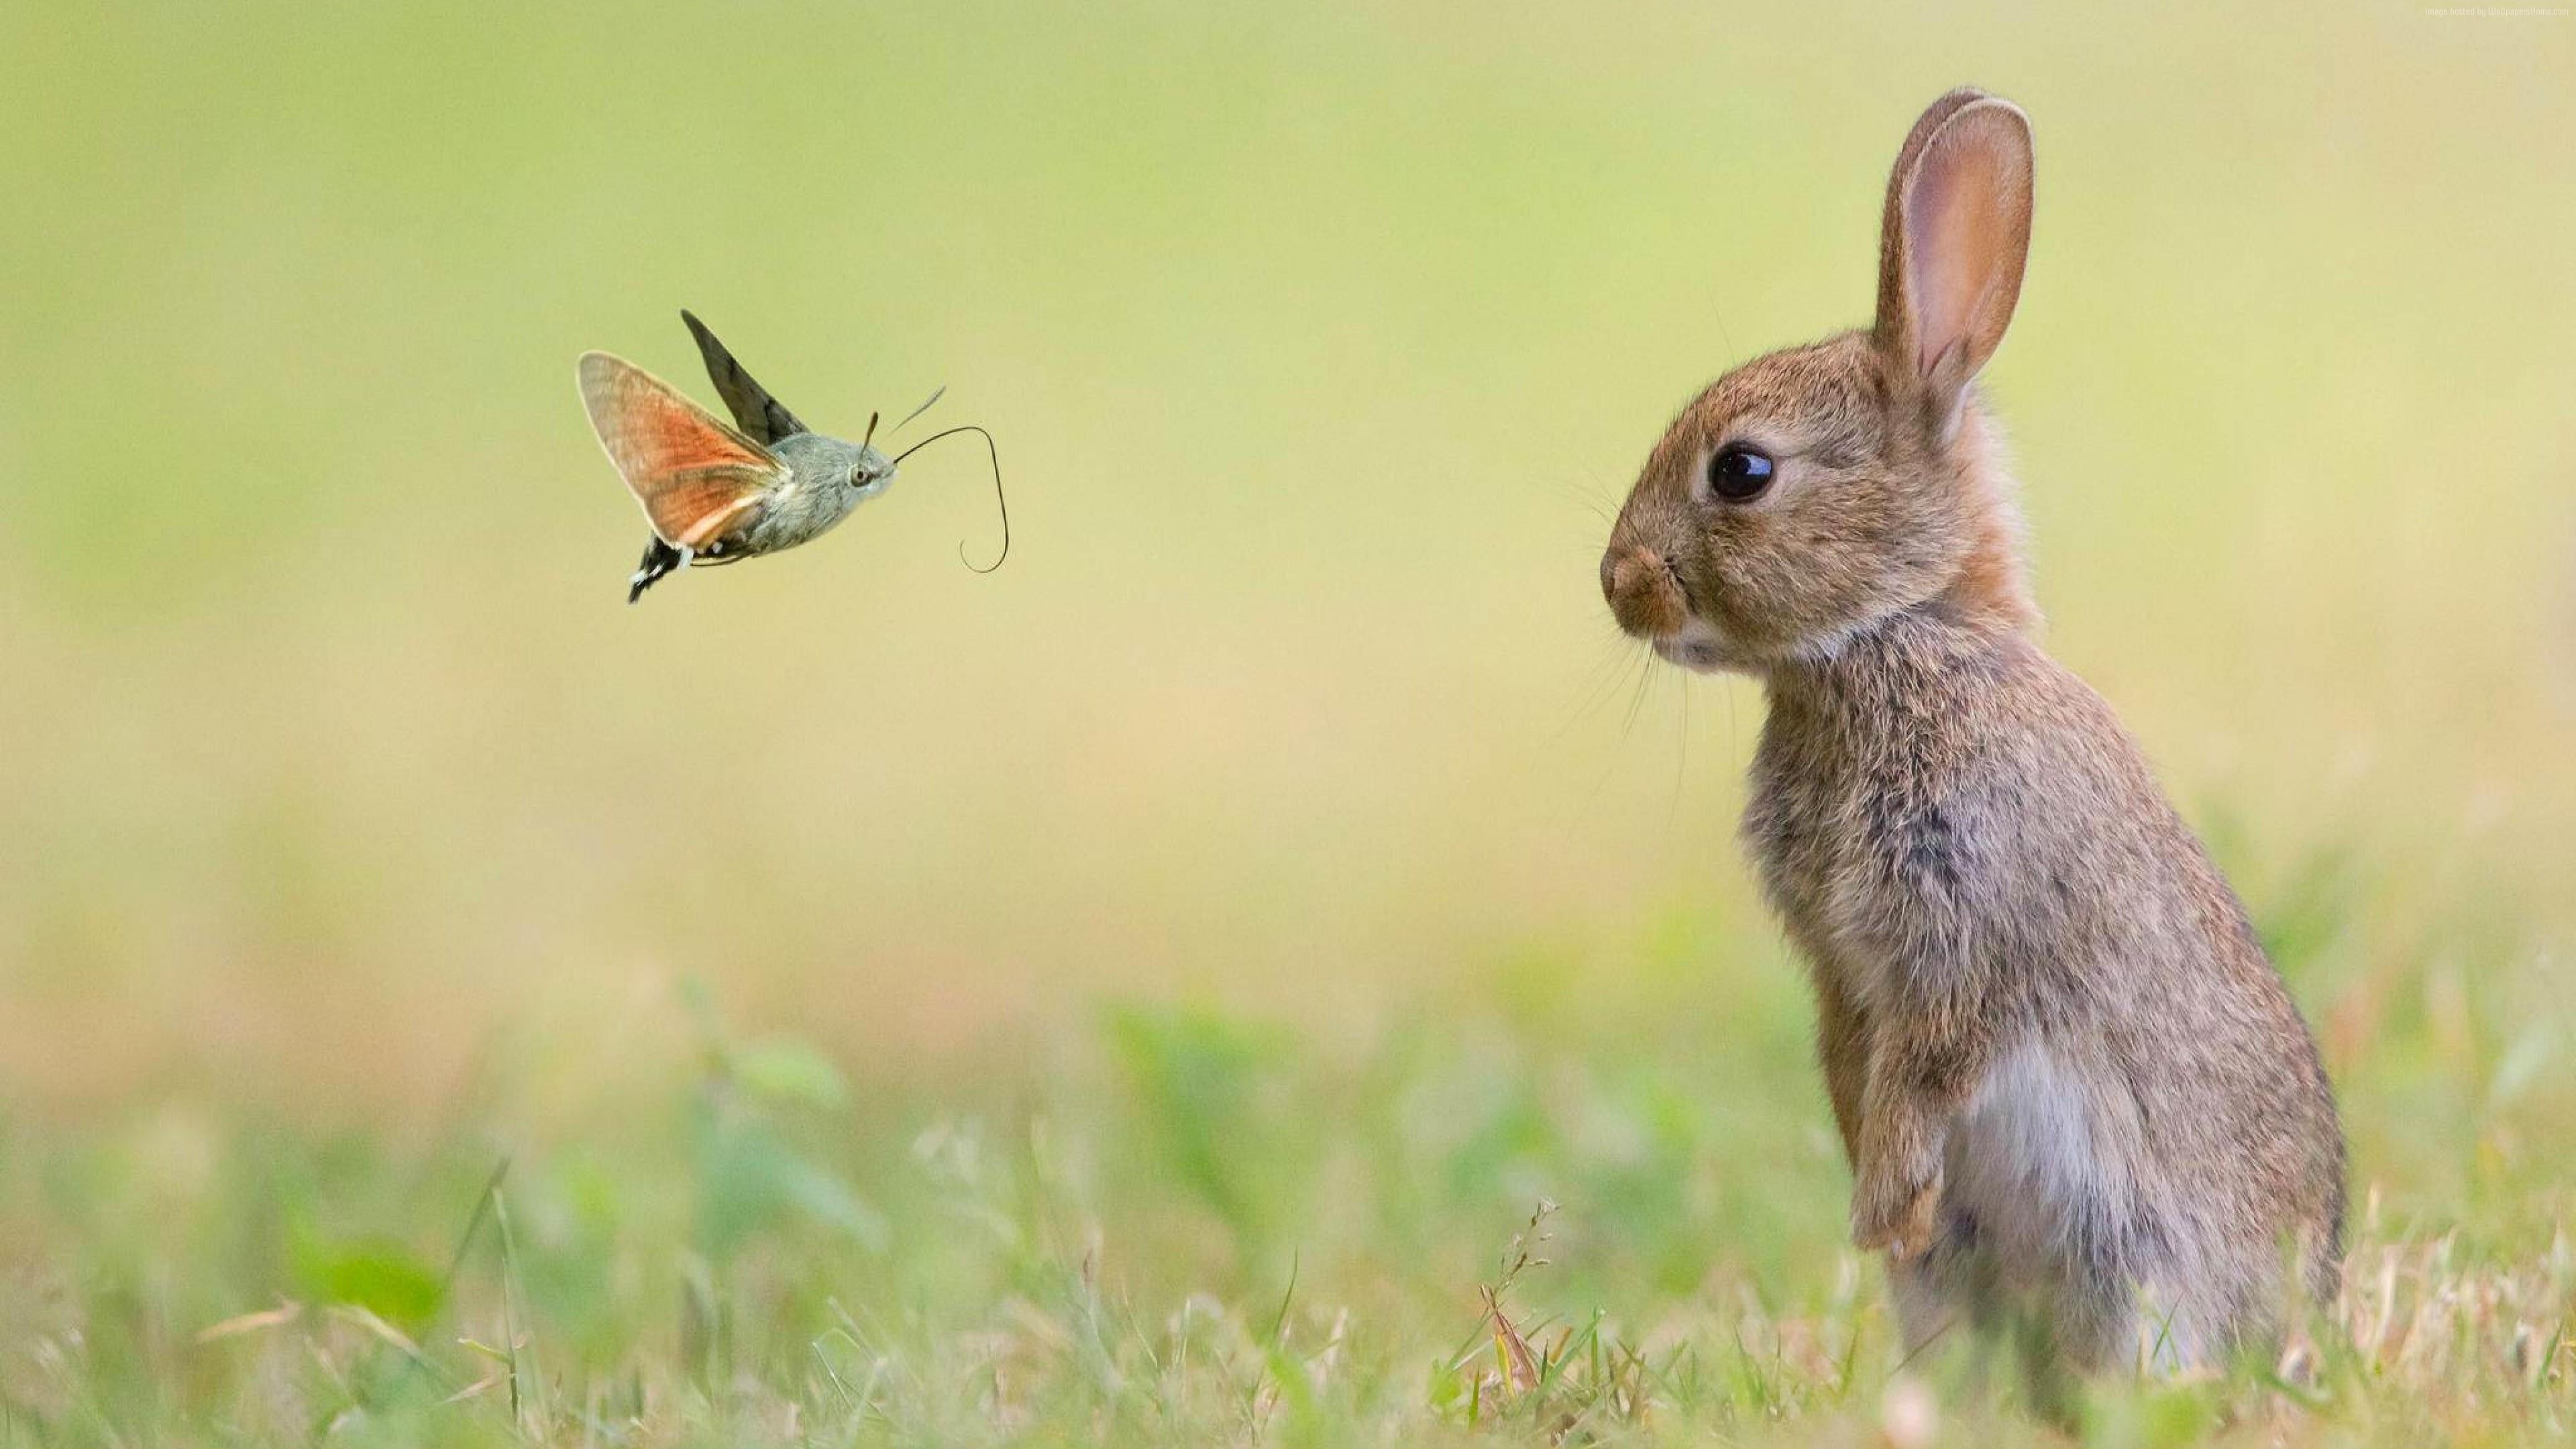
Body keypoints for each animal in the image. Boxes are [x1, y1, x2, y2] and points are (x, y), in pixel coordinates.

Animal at [1599, 88, 2344, 1381]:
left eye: (1742, 472)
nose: (1616, 583)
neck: (1893, 638)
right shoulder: (1841, 969)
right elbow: (1852, 1055)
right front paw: (1874, 1200)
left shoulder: (1970, 925)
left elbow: (1935, 1055)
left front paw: (1881, 1203)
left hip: (2143, 1271)